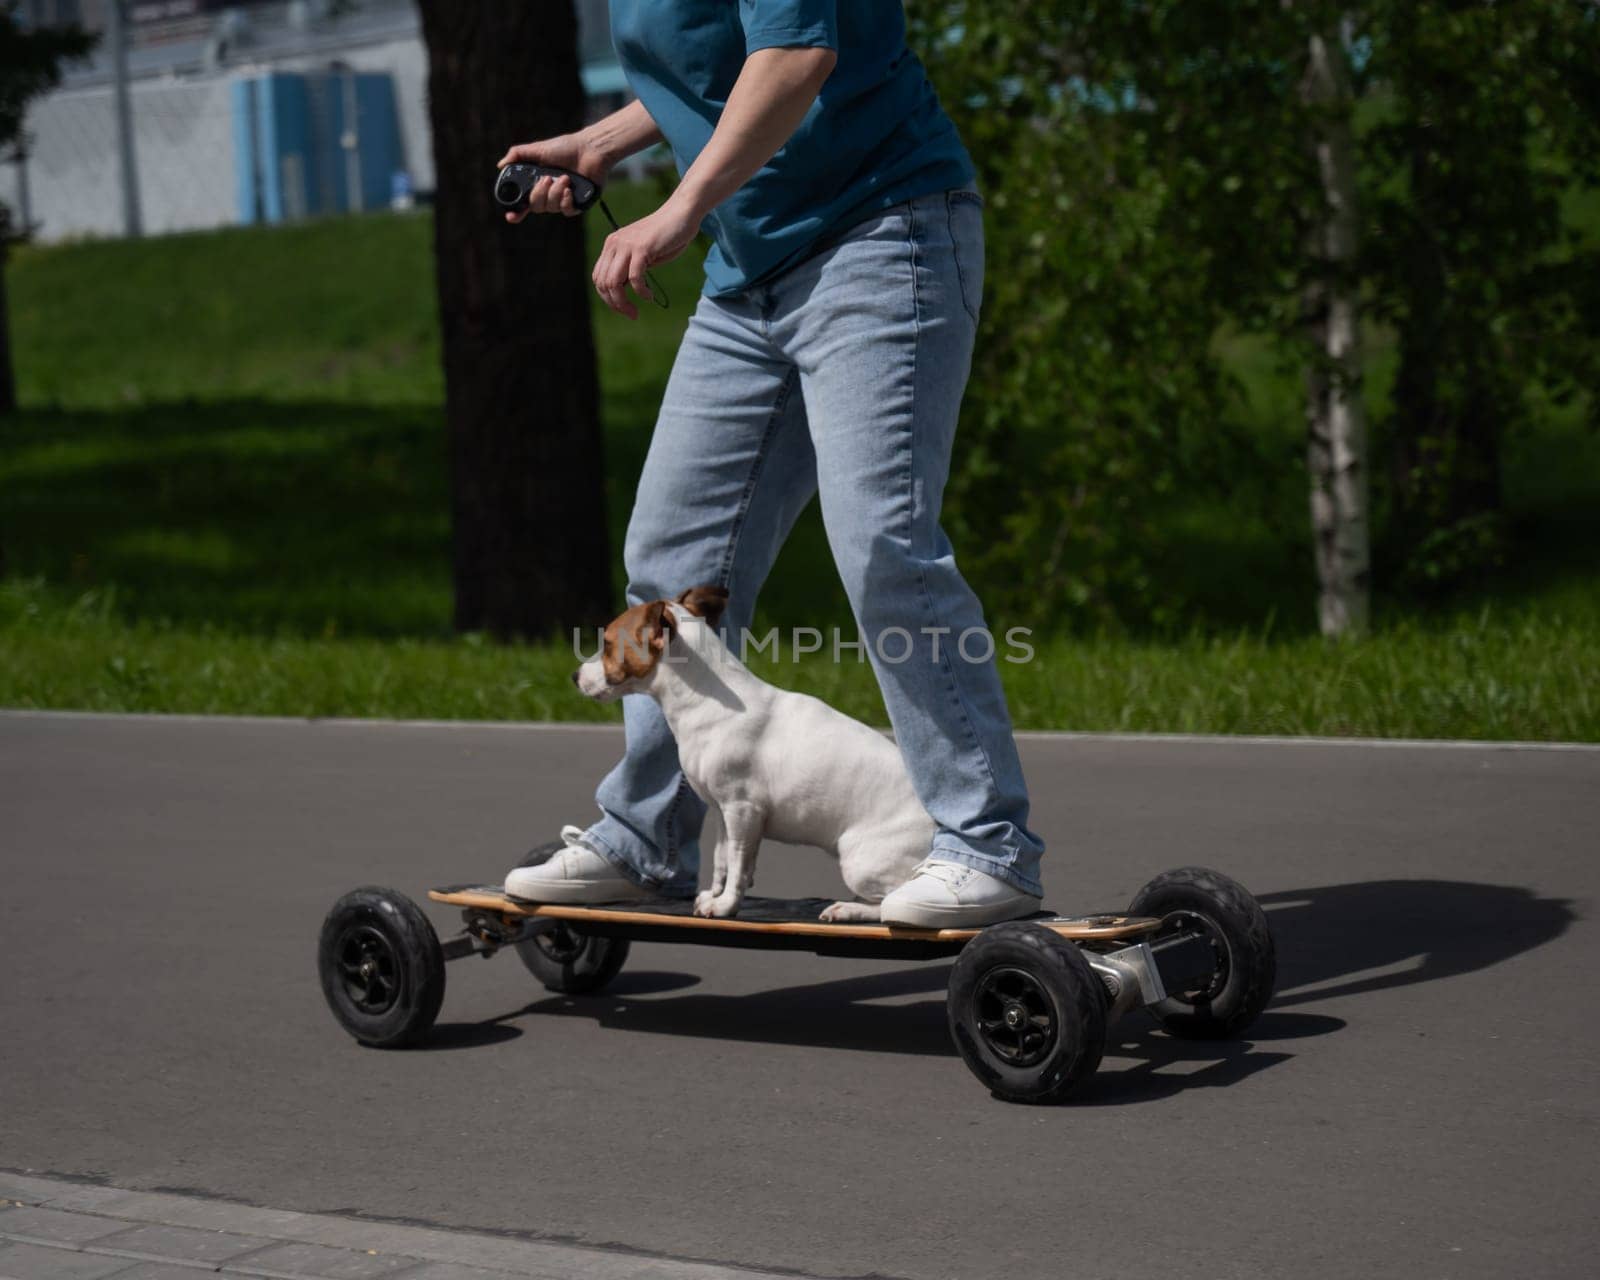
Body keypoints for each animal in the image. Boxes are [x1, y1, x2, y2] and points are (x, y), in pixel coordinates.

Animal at [576, 588, 928, 921]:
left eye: (607, 644)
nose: (574, 676)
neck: (708, 700)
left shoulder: (743, 809)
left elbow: (738, 866)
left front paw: (726, 905)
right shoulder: (724, 813)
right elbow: (723, 860)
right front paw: (714, 896)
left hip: (861, 860)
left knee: (892, 901)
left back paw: (850, 909)